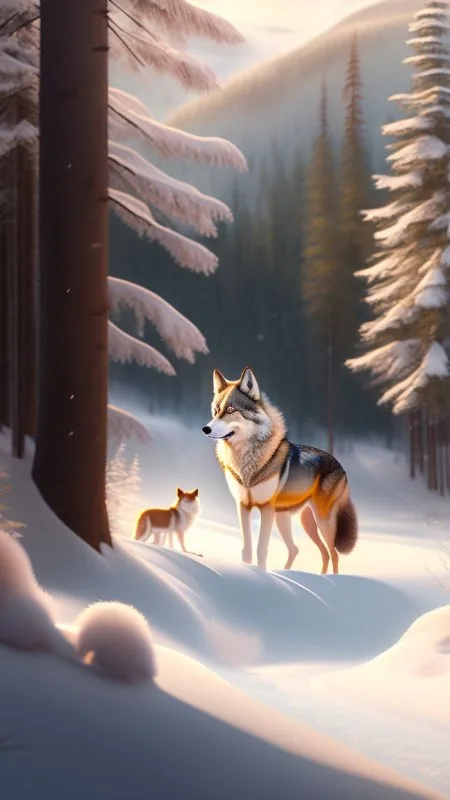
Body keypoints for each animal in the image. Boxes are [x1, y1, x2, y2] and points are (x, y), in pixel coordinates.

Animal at [202, 367, 358, 573]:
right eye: (216, 410)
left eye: (230, 410)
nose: (205, 429)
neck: (246, 462)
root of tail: (340, 465)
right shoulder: (243, 506)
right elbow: (246, 548)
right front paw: (248, 570)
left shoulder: (266, 508)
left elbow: (261, 548)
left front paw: (261, 573)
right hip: (296, 521)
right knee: (305, 550)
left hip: (321, 521)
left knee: (334, 554)